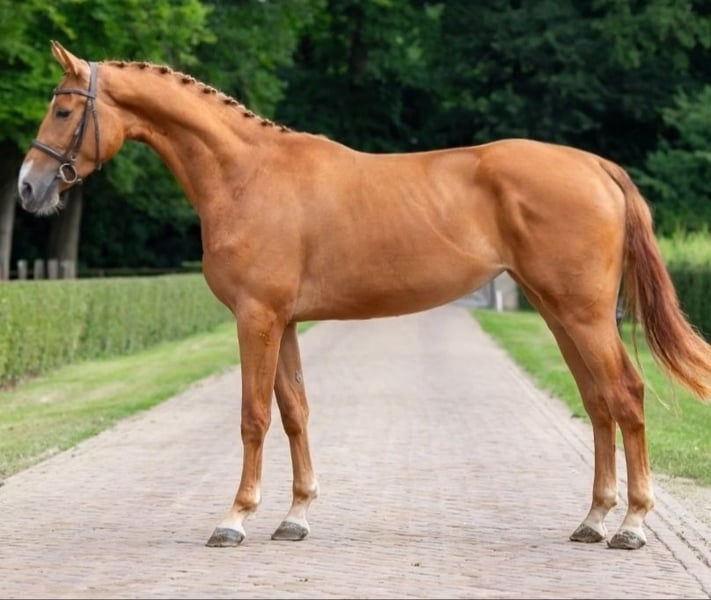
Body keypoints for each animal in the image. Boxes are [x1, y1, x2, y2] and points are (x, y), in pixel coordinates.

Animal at [18, 41, 711, 551]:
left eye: (62, 110)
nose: (28, 187)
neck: (246, 174)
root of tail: (596, 166)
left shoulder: (256, 318)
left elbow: (253, 416)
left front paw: (235, 519)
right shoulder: (284, 322)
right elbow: (295, 411)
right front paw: (295, 517)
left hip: (584, 314)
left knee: (626, 395)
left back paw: (632, 526)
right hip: (559, 313)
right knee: (598, 402)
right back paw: (593, 521)